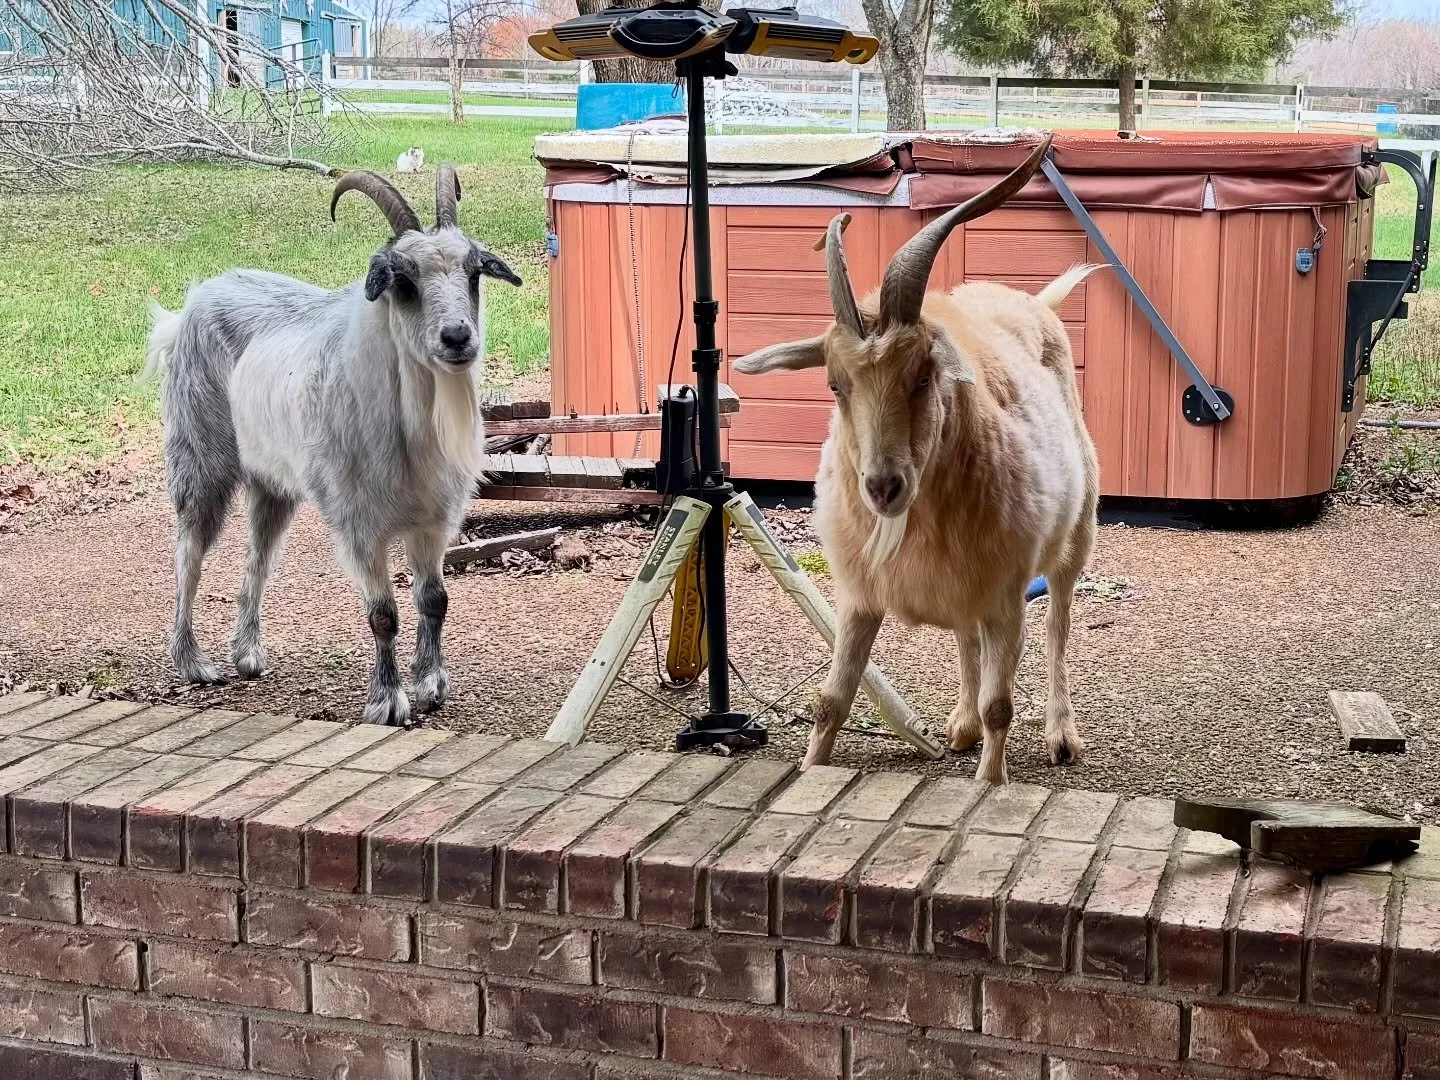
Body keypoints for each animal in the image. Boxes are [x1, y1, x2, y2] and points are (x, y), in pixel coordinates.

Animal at [144, 165, 521, 726]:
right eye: (403, 279)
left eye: (474, 272)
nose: (457, 337)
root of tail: (191, 305)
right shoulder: (357, 521)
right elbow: (383, 614)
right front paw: (387, 702)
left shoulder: (435, 518)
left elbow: (434, 599)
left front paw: (431, 686)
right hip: (201, 455)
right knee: (188, 551)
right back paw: (193, 663)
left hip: (273, 484)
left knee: (259, 554)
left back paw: (248, 655)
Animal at [733, 135, 1100, 783]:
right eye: (834, 384)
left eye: (924, 375)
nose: (883, 487)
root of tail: (1034, 303)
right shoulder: (859, 595)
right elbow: (831, 700)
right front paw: (811, 766)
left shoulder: (1006, 590)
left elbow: (1003, 705)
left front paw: (992, 781)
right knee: (967, 637)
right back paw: (961, 725)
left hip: (1073, 536)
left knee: (1057, 619)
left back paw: (1061, 734)